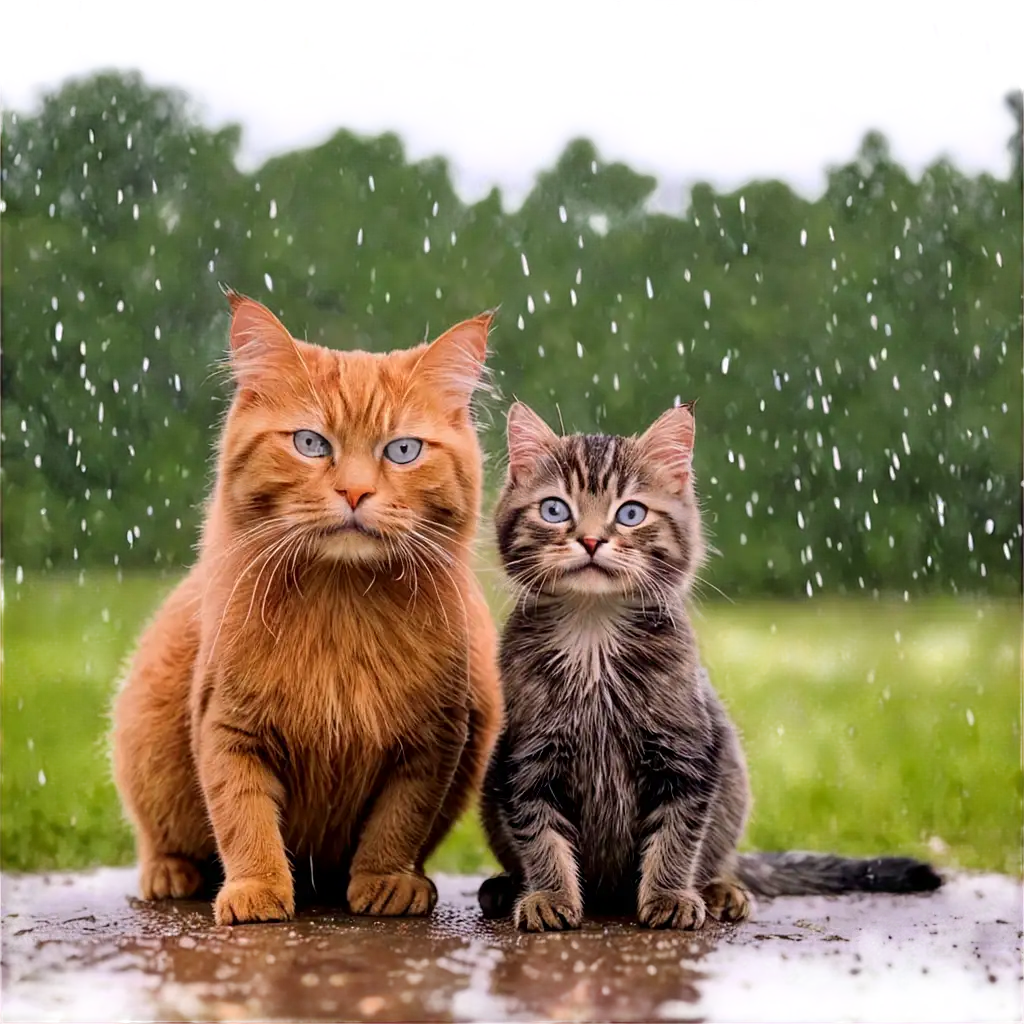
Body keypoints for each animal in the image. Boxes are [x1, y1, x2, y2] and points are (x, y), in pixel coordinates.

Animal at [110, 290, 501, 929]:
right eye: (311, 444)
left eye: (403, 451)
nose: (354, 492)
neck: (340, 607)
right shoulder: (228, 727)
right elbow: (242, 816)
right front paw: (257, 887)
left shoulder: (433, 742)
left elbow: (399, 821)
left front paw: (386, 879)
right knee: (159, 835)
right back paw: (170, 872)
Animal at [479, 403, 942, 933]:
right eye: (555, 509)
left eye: (630, 513)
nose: (592, 539)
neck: (593, 633)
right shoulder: (526, 759)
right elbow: (539, 834)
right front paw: (549, 893)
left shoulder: (688, 752)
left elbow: (678, 834)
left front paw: (669, 894)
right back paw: (506, 887)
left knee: (717, 856)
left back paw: (721, 888)